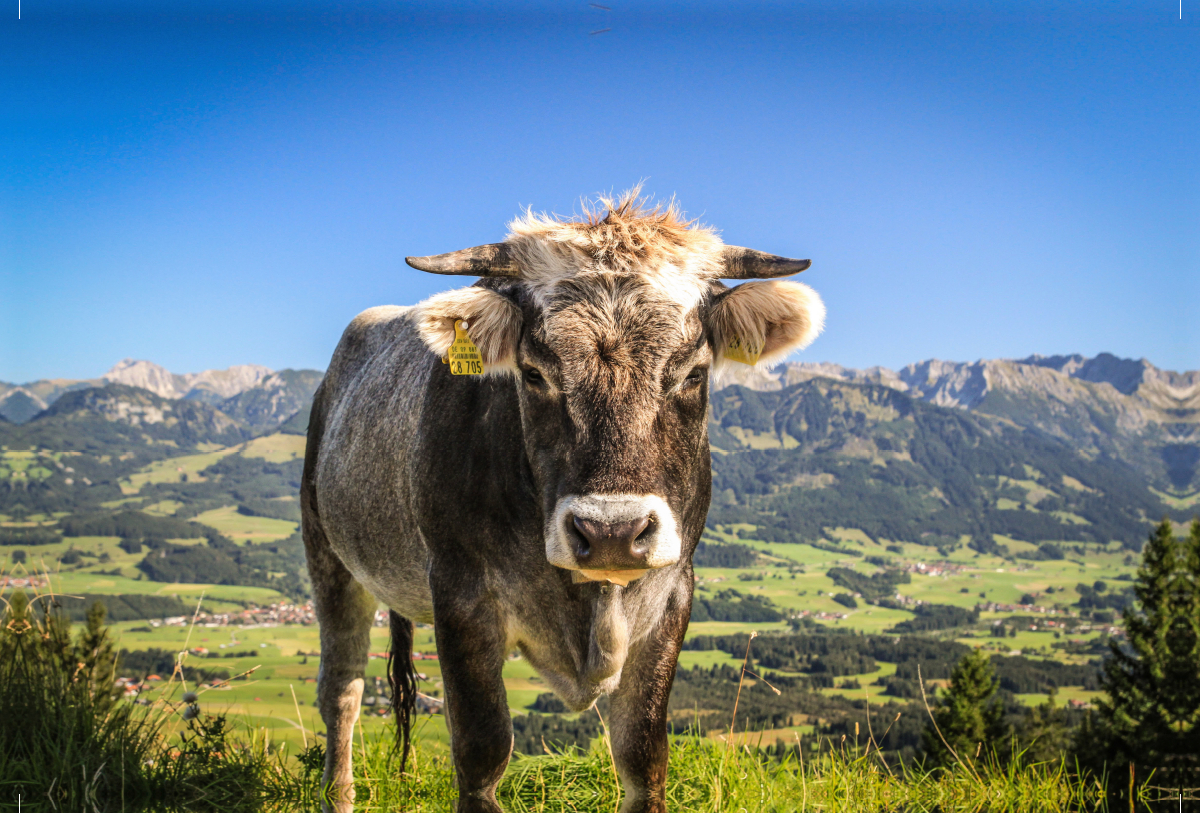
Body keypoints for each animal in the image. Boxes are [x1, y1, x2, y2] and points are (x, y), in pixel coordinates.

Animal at [302, 193, 825, 813]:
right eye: (533, 373)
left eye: (694, 374)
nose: (612, 533)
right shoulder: (459, 594)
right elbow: (481, 752)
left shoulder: (673, 594)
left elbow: (642, 753)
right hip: (329, 557)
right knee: (342, 690)